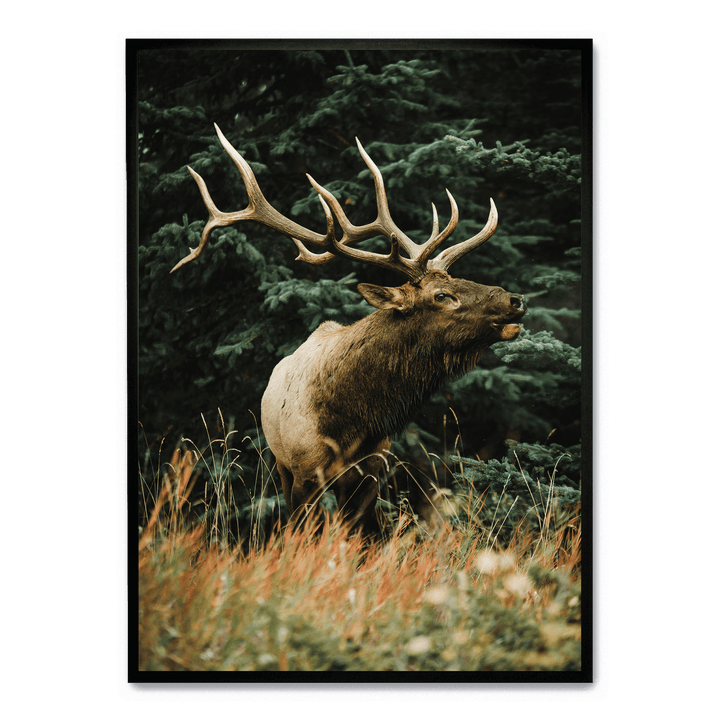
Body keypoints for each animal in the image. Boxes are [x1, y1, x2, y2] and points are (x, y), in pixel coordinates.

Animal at [172, 124, 527, 533]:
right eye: (441, 295)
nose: (515, 299)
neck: (352, 423)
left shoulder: (372, 472)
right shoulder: (303, 470)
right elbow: (300, 528)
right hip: (279, 463)